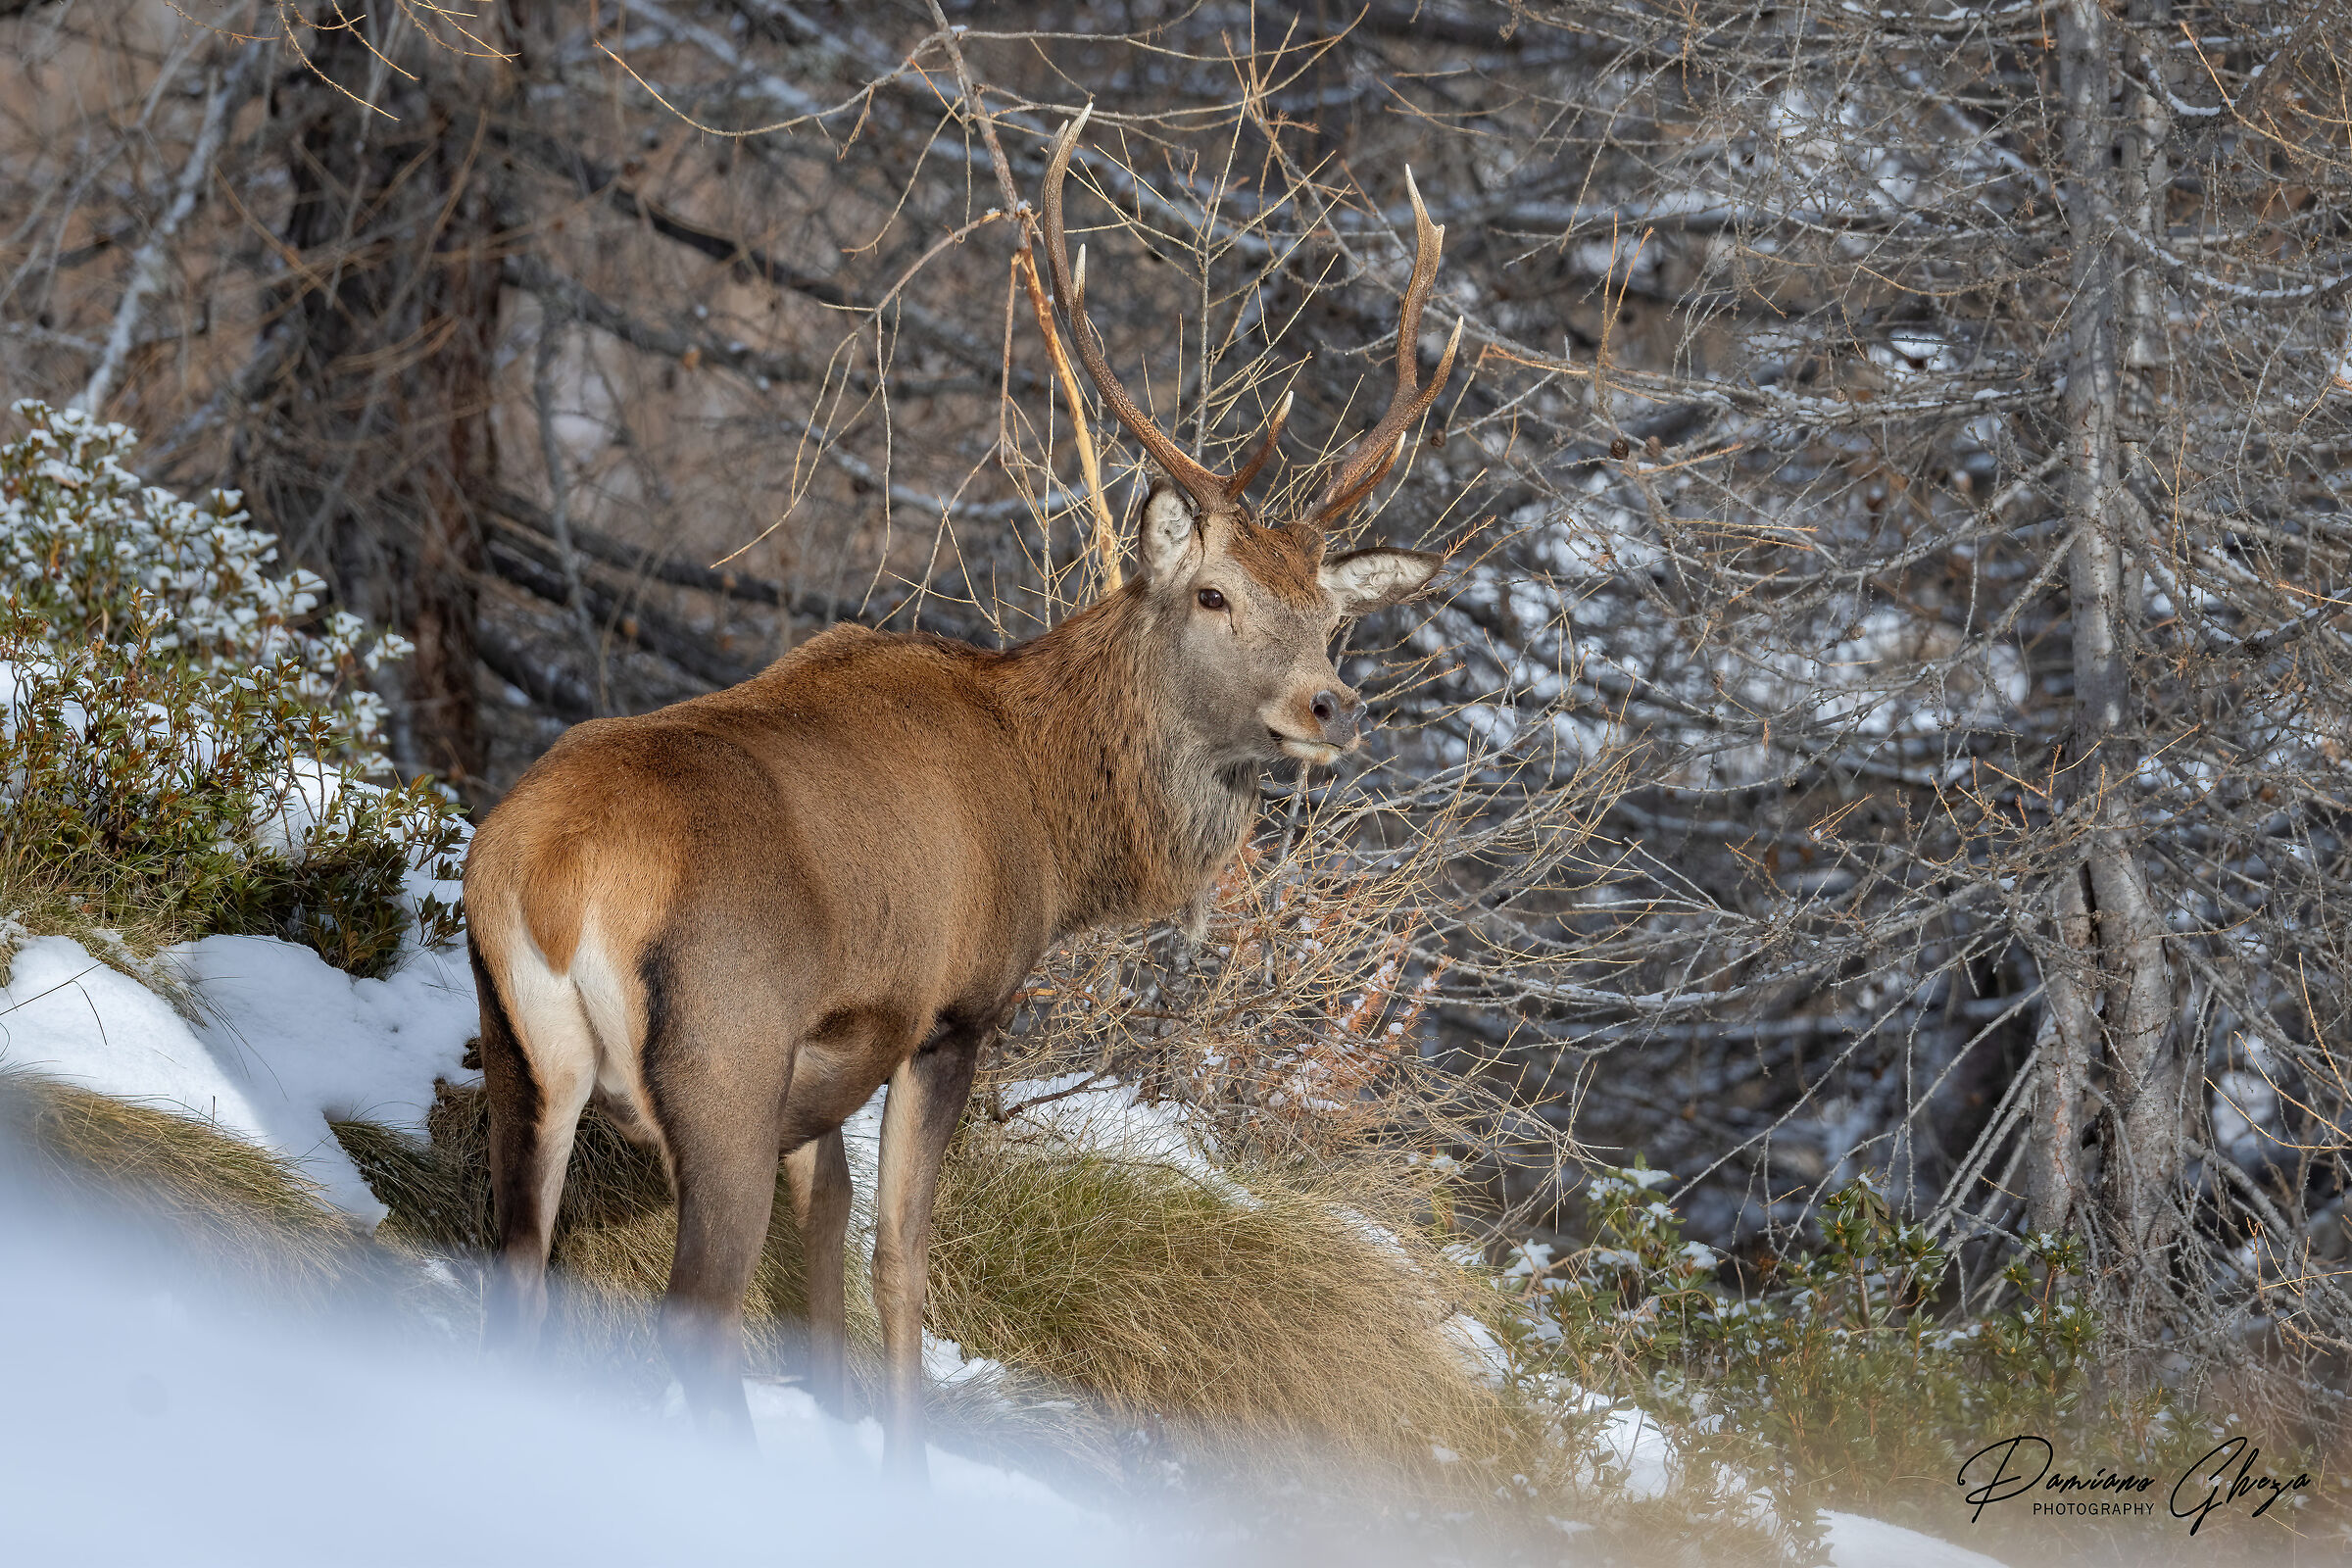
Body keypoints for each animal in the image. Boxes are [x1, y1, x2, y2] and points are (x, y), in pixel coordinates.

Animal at [461, 108, 1460, 1476]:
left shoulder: (838, 1040)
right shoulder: (953, 1007)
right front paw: (902, 1460)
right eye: (1214, 594)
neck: (1050, 813)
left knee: (516, 1267)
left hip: (522, 1057)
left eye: (1330, 620)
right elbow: (901, 1256)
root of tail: (549, 881)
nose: (1329, 707)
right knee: (694, 1311)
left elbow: (826, 1226)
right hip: (721, 1049)